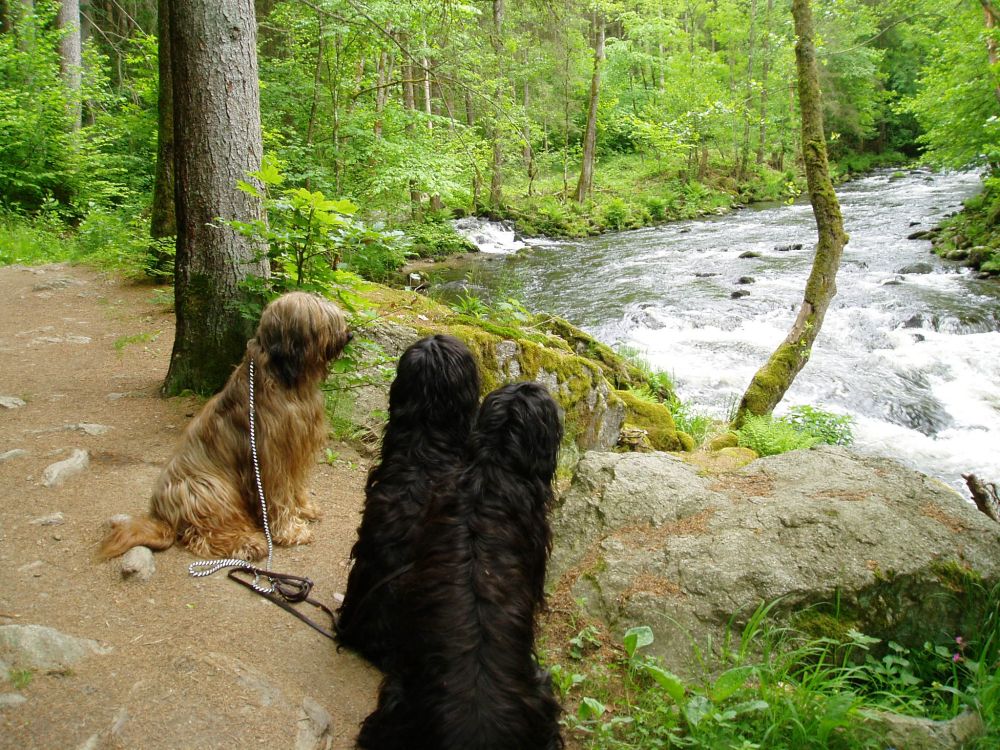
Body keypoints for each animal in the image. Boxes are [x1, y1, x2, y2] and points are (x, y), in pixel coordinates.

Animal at [99, 291, 351, 562]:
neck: (285, 377)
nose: (349, 335)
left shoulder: (298, 448)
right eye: (325, 321)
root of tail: (163, 517)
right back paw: (249, 543)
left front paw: (304, 508)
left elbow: (296, 486)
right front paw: (291, 530)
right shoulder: (272, 458)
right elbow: (279, 495)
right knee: (207, 534)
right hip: (208, 488)